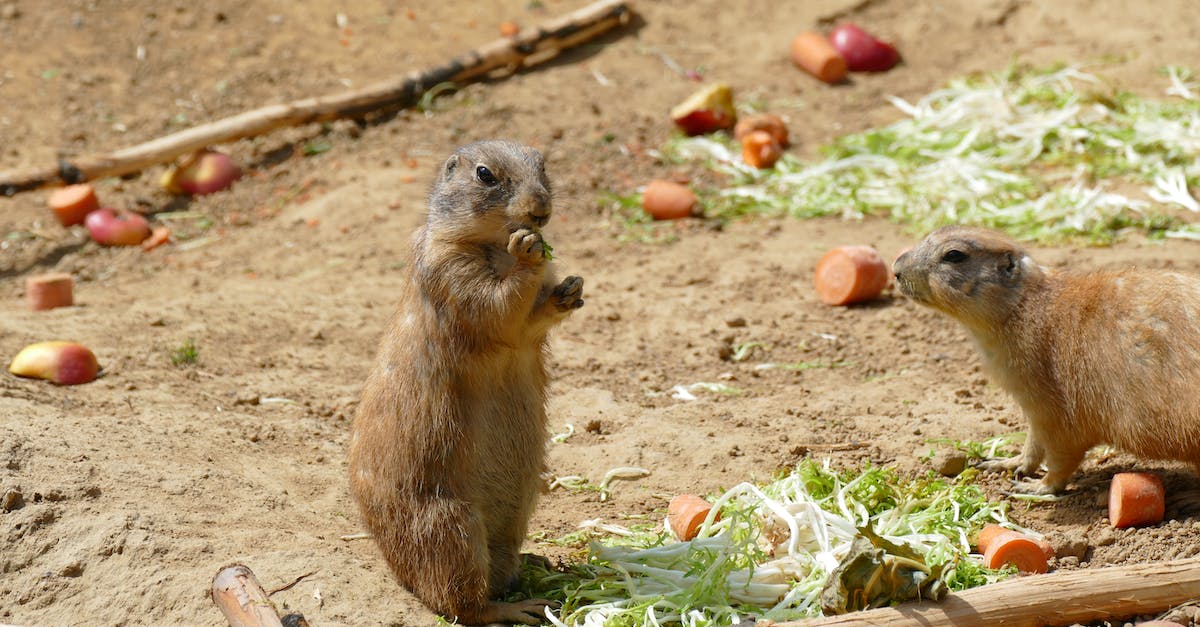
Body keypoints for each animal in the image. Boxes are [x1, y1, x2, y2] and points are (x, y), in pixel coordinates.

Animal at [348, 140, 584, 624]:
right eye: (484, 174)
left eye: (543, 164)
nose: (541, 210)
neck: (492, 242)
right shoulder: (450, 269)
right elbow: (497, 308)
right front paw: (529, 250)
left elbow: (532, 320)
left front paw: (571, 288)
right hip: (451, 527)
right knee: (460, 605)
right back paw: (521, 607)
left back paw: (532, 563)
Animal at [894, 225, 1200, 494]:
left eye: (954, 255)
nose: (896, 270)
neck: (1024, 304)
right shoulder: (1033, 405)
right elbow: (1033, 440)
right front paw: (1005, 463)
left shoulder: (1047, 396)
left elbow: (1060, 445)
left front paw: (1036, 487)